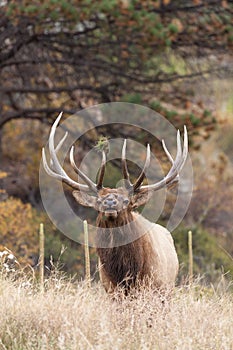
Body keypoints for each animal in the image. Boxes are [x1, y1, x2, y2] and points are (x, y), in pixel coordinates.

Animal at [41, 113, 187, 294]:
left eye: (126, 201)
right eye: (99, 200)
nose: (110, 202)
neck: (125, 272)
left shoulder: (152, 286)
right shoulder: (110, 289)